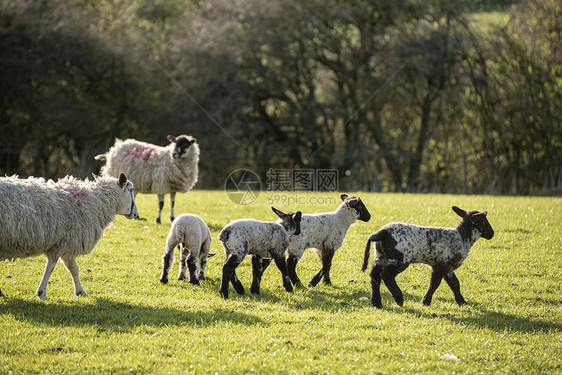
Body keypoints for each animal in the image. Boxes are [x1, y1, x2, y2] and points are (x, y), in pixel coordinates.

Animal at [0, 173, 138, 300]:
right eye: (131, 190)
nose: (136, 214)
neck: (96, 203)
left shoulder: (65, 243)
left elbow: (73, 268)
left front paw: (80, 291)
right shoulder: (66, 242)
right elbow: (55, 268)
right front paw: (42, 293)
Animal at [360, 207, 492, 310]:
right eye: (484, 221)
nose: (492, 233)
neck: (462, 238)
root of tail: (381, 233)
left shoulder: (447, 265)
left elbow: (455, 283)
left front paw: (462, 302)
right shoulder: (441, 265)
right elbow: (434, 283)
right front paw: (425, 302)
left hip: (380, 256)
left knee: (375, 276)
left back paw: (377, 303)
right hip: (401, 257)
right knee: (387, 276)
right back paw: (399, 299)